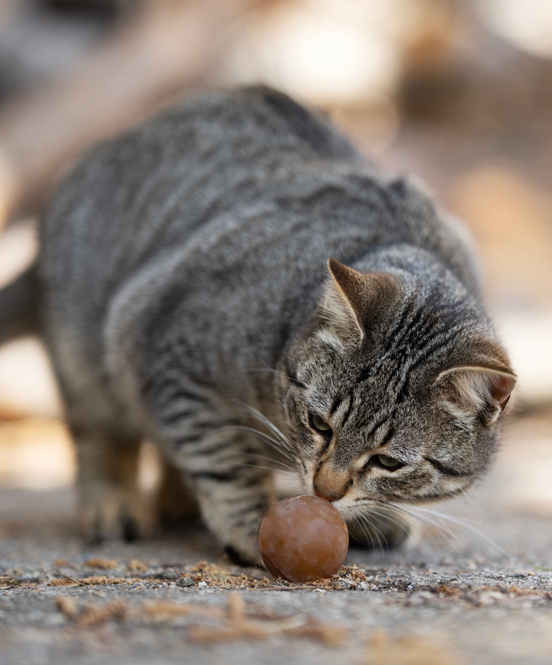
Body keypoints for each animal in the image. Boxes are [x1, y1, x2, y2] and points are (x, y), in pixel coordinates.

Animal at [0, 85, 516, 564]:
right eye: (319, 423)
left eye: (388, 461)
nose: (326, 491)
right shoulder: (168, 352)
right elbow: (223, 456)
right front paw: (252, 524)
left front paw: (367, 517)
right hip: (87, 359)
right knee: (101, 435)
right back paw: (115, 502)